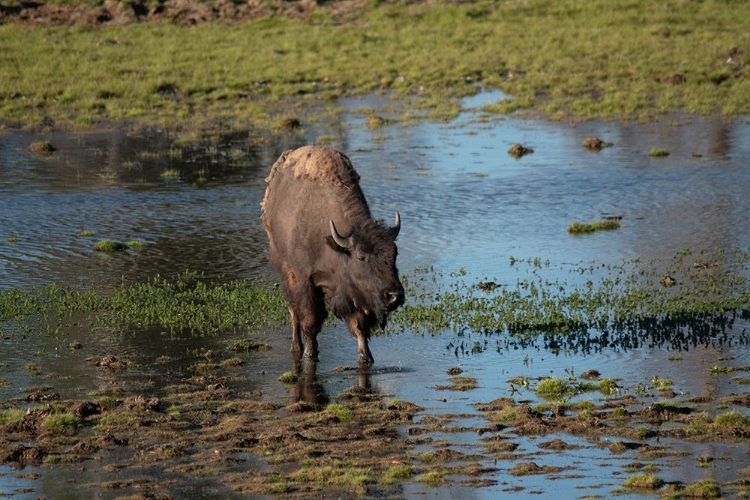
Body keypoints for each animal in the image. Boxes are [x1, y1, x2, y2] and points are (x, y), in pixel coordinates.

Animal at [262, 145, 406, 364]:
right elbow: (310, 322)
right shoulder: (305, 281)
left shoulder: (351, 292)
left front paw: (365, 357)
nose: (394, 296)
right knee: (293, 311)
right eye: (361, 257)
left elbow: (360, 326)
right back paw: (297, 347)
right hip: (285, 269)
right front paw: (309, 353)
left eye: (395, 254)